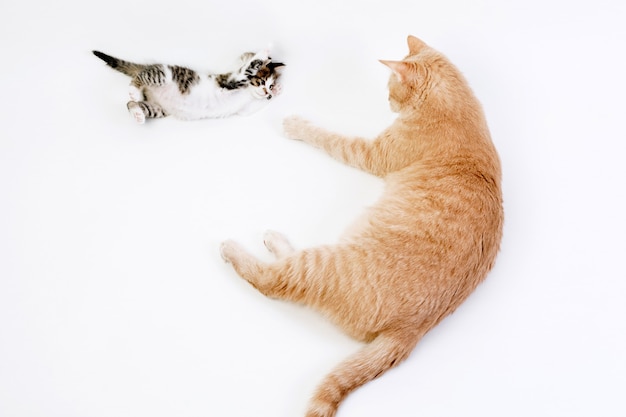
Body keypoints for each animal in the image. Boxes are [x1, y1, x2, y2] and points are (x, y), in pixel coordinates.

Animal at [91, 49, 284, 122]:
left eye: (269, 85)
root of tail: (150, 65)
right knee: (140, 76)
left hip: (157, 108)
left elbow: (251, 108)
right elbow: (247, 67)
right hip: (162, 74)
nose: (268, 92)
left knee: (132, 104)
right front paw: (264, 52)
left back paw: (137, 113)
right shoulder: (228, 82)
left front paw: (277, 91)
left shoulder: (244, 108)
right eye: (261, 81)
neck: (247, 93)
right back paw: (133, 90)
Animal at [219, 35, 502, 416]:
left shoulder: (368, 153)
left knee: (272, 280)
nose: (387, 102)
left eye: (390, 88)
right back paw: (274, 239)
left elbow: (330, 139)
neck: (459, 110)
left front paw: (298, 126)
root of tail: (410, 331)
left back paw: (234, 248)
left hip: (321, 264)